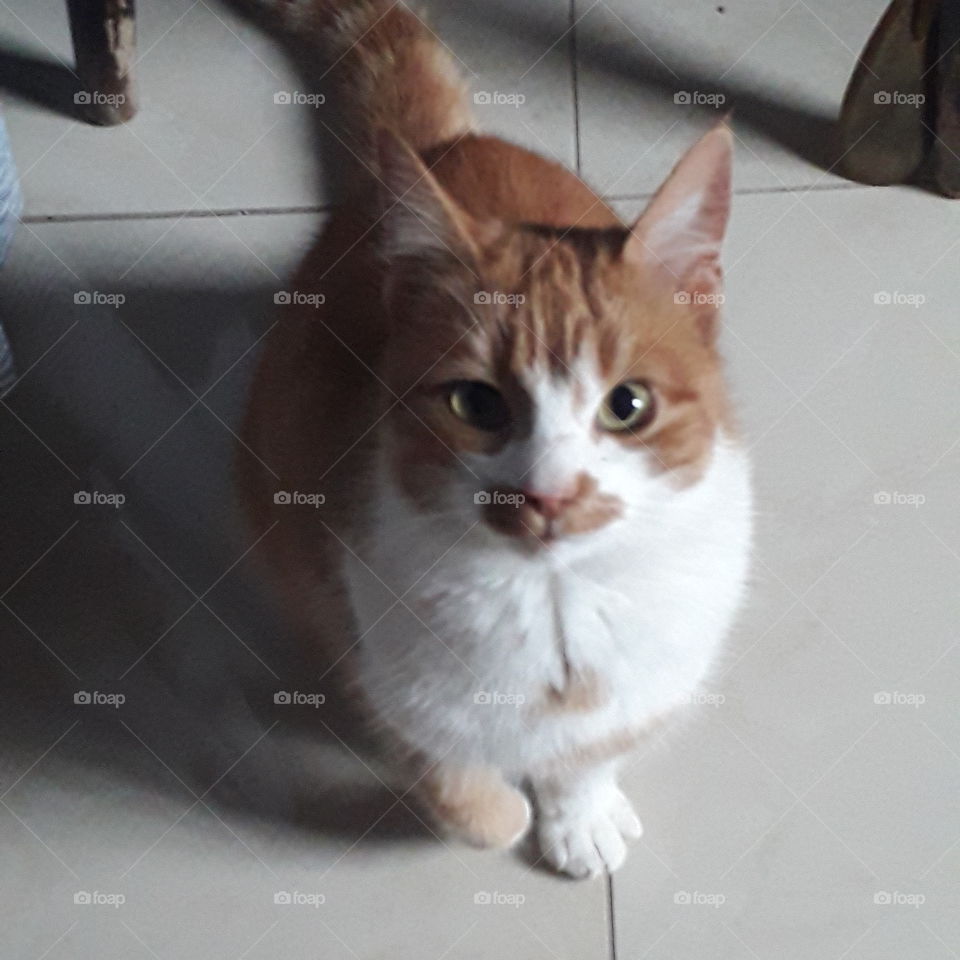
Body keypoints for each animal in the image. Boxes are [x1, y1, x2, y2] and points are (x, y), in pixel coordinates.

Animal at [238, 0, 752, 876]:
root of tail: (450, 146)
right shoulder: (373, 634)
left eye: (628, 405)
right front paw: (502, 812)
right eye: (476, 404)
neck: (556, 599)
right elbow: (449, 775)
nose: (547, 493)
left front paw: (580, 810)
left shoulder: (651, 679)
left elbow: (595, 747)